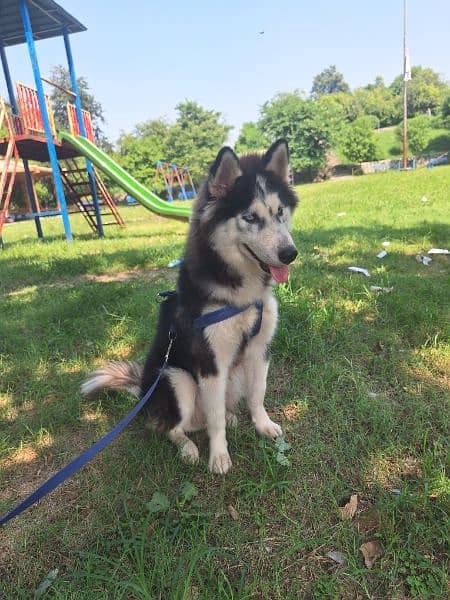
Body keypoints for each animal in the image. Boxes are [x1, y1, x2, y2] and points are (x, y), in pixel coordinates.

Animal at [81, 141, 298, 474]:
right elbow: (214, 420)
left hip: (229, 377)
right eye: (249, 217)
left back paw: (230, 418)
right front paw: (218, 456)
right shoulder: (210, 361)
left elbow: (257, 394)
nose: (290, 253)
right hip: (177, 379)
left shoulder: (260, 350)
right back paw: (187, 448)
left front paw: (263, 425)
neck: (240, 292)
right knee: (173, 428)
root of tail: (143, 394)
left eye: (280, 213)